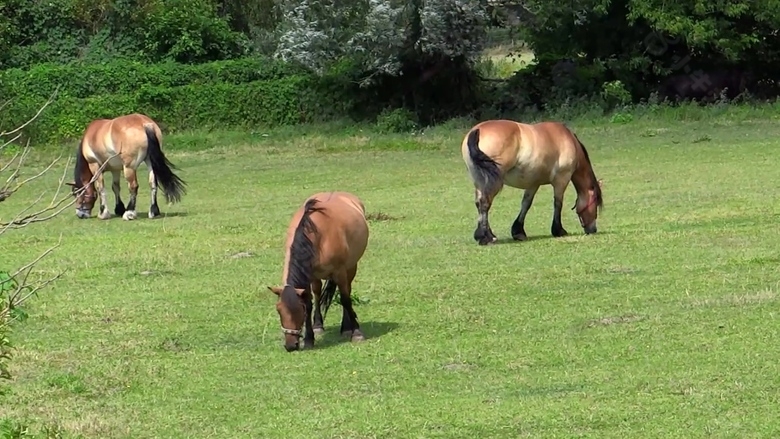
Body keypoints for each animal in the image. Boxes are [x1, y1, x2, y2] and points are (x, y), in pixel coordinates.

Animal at [270, 192, 370, 354]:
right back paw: (318, 325)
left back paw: (347, 327)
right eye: (279, 311)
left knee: (347, 292)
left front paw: (356, 333)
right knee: (317, 294)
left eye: (299, 311)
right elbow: (310, 302)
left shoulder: (340, 272)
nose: (290, 345)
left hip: (351, 267)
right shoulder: (309, 277)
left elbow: (345, 299)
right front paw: (309, 339)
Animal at [460, 118, 608, 246]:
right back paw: (487, 238)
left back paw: (484, 235)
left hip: (479, 181)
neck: (568, 140)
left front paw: (518, 232)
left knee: (480, 204)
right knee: (485, 203)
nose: (593, 229)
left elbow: (526, 204)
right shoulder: (561, 180)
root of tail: (477, 131)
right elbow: (558, 203)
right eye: (595, 202)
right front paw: (558, 230)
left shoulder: (533, 184)